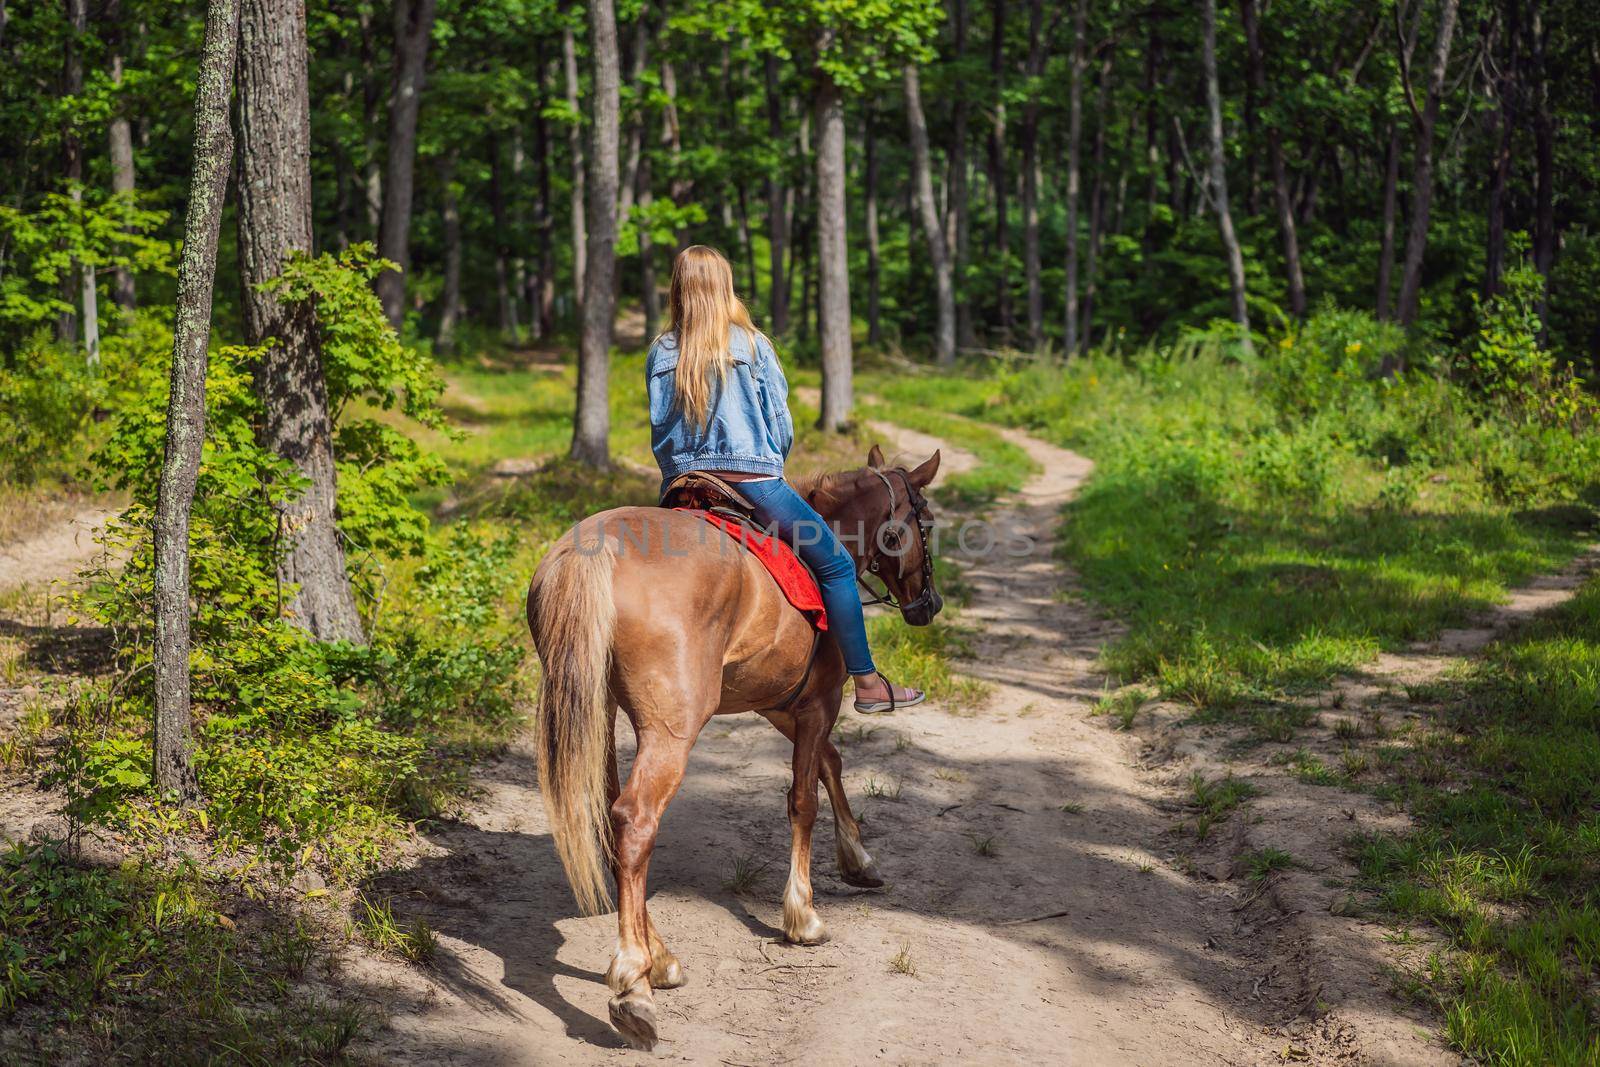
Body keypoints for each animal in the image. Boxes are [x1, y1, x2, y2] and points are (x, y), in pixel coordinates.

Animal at [531, 447, 940, 1055]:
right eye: (926, 523)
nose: (928, 605)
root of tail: (594, 550)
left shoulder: (779, 703)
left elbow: (830, 764)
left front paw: (858, 860)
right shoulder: (818, 702)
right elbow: (803, 800)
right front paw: (803, 916)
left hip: (597, 708)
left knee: (610, 822)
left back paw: (660, 960)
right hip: (672, 729)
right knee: (635, 821)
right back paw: (633, 987)